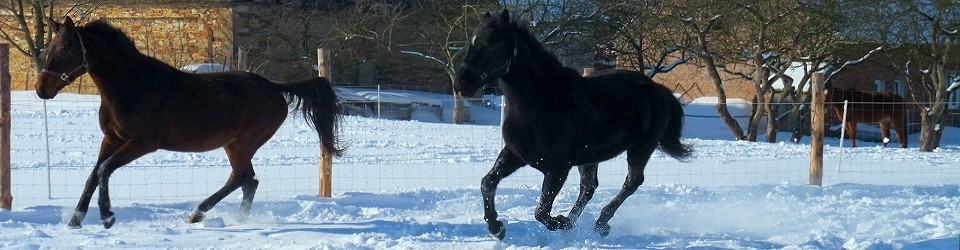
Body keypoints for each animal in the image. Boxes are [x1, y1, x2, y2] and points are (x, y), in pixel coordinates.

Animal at [35, 17, 344, 229]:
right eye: (50, 48)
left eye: (65, 50)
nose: (41, 89)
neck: (132, 86)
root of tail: (275, 87)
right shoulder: (112, 139)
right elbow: (93, 174)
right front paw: (75, 219)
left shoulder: (143, 143)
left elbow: (104, 171)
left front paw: (107, 216)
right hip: (234, 145)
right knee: (249, 181)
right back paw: (236, 220)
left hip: (245, 143)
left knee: (239, 179)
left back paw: (197, 213)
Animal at [456, 10, 688, 240]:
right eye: (472, 41)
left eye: (491, 43)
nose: (462, 84)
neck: (541, 103)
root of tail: (659, 89)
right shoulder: (515, 155)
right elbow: (487, 183)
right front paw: (496, 228)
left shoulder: (557, 169)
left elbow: (541, 211)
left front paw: (560, 222)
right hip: (591, 157)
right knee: (589, 188)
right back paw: (578, 222)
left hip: (641, 147)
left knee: (631, 182)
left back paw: (600, 223)